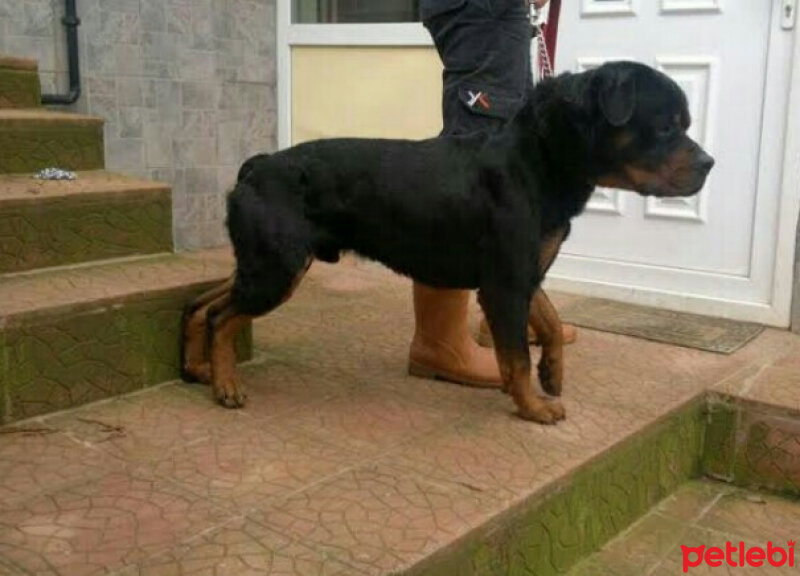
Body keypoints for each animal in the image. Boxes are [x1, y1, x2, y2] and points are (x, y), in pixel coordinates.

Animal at [184, 62, 716, 424]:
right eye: (666, 125)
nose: (709, 163)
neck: (542, 157)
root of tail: (256, 166)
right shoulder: (505, 281)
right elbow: (516, 355)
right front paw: (532, 406)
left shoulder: (523, 272)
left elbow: (548, 320)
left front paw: (552, 375)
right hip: (279, 266)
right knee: (222, 316)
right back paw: (226, 385)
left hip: (266, 263)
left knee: (201, 304)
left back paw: (198, 368)